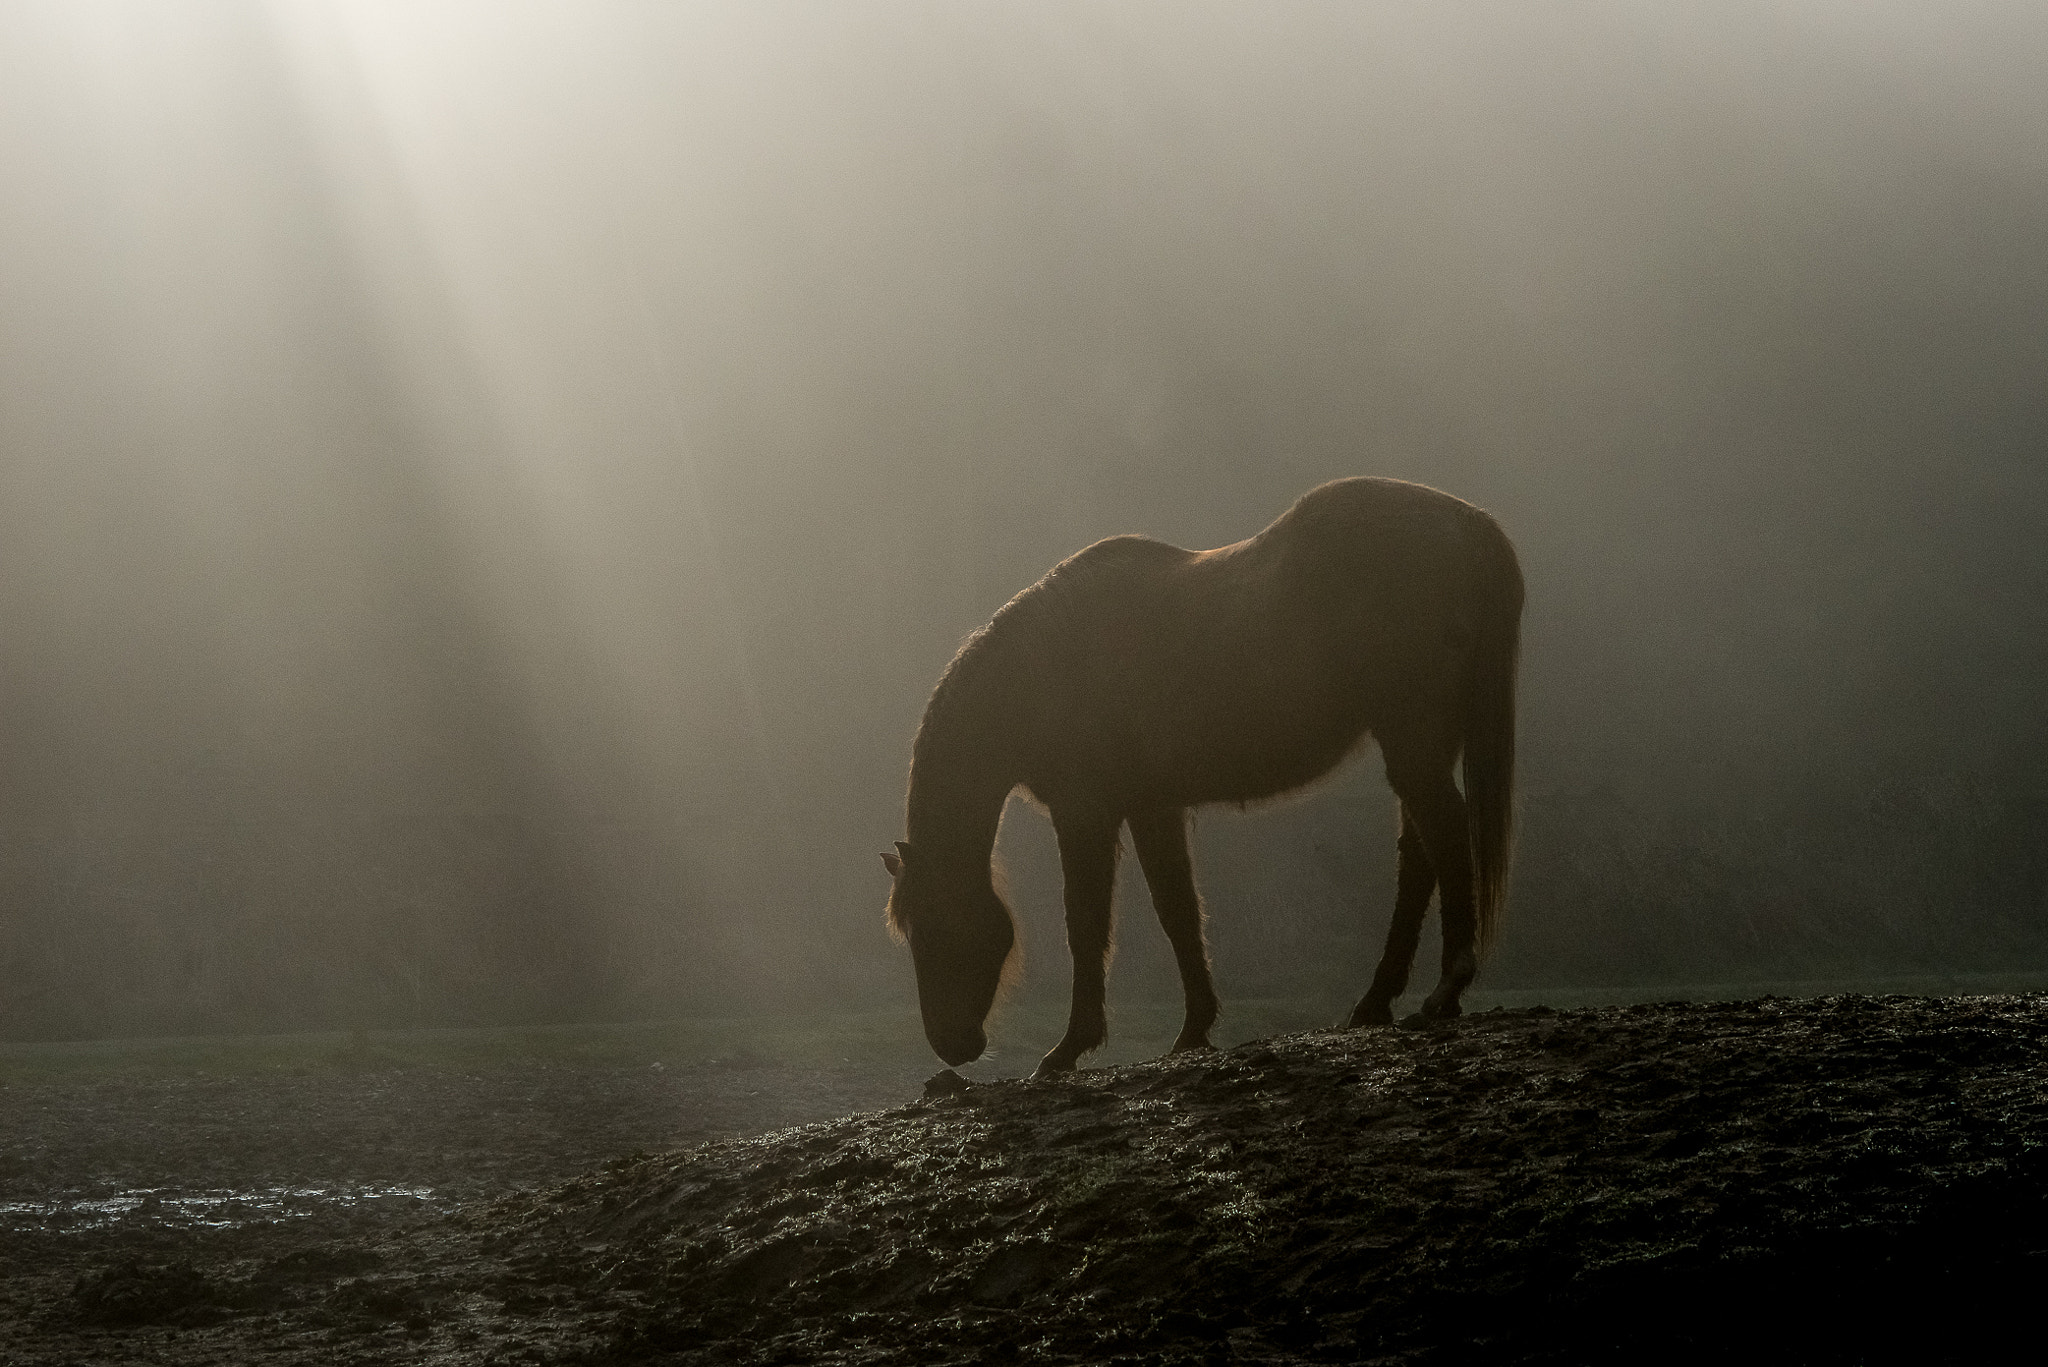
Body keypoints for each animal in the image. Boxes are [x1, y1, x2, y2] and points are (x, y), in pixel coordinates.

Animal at [880, 475, 1523, 1073]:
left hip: (1414, 741)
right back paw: (1377, 1002)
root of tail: (1468, 524)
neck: (1043, 667)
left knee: (1446, 837)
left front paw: (1069, 1048)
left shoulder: (1085, 813)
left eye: (932, 928)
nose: (952, 1046)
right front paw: (1193, 1030)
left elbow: (1085, 924)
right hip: (1419, 746)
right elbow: (1179, 913)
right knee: (1420, 856)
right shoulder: (1152, 807)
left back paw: (1444, 990)